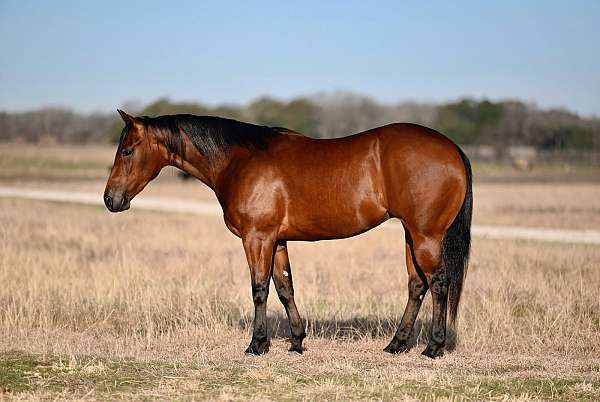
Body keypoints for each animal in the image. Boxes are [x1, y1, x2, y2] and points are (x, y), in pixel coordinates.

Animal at [104, 110, 474, 358]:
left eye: (127, 150)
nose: (110, 199)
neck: (240, 160)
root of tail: (452, 148)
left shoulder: (257, 238)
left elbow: (259, 290)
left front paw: (257, 344)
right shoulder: (277, 240)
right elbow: (284, 288)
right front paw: (296, 341)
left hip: (426, 236)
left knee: (439, 283)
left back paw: (433, 347)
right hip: (411, 235)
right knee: (417, 285)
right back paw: (396, 344)